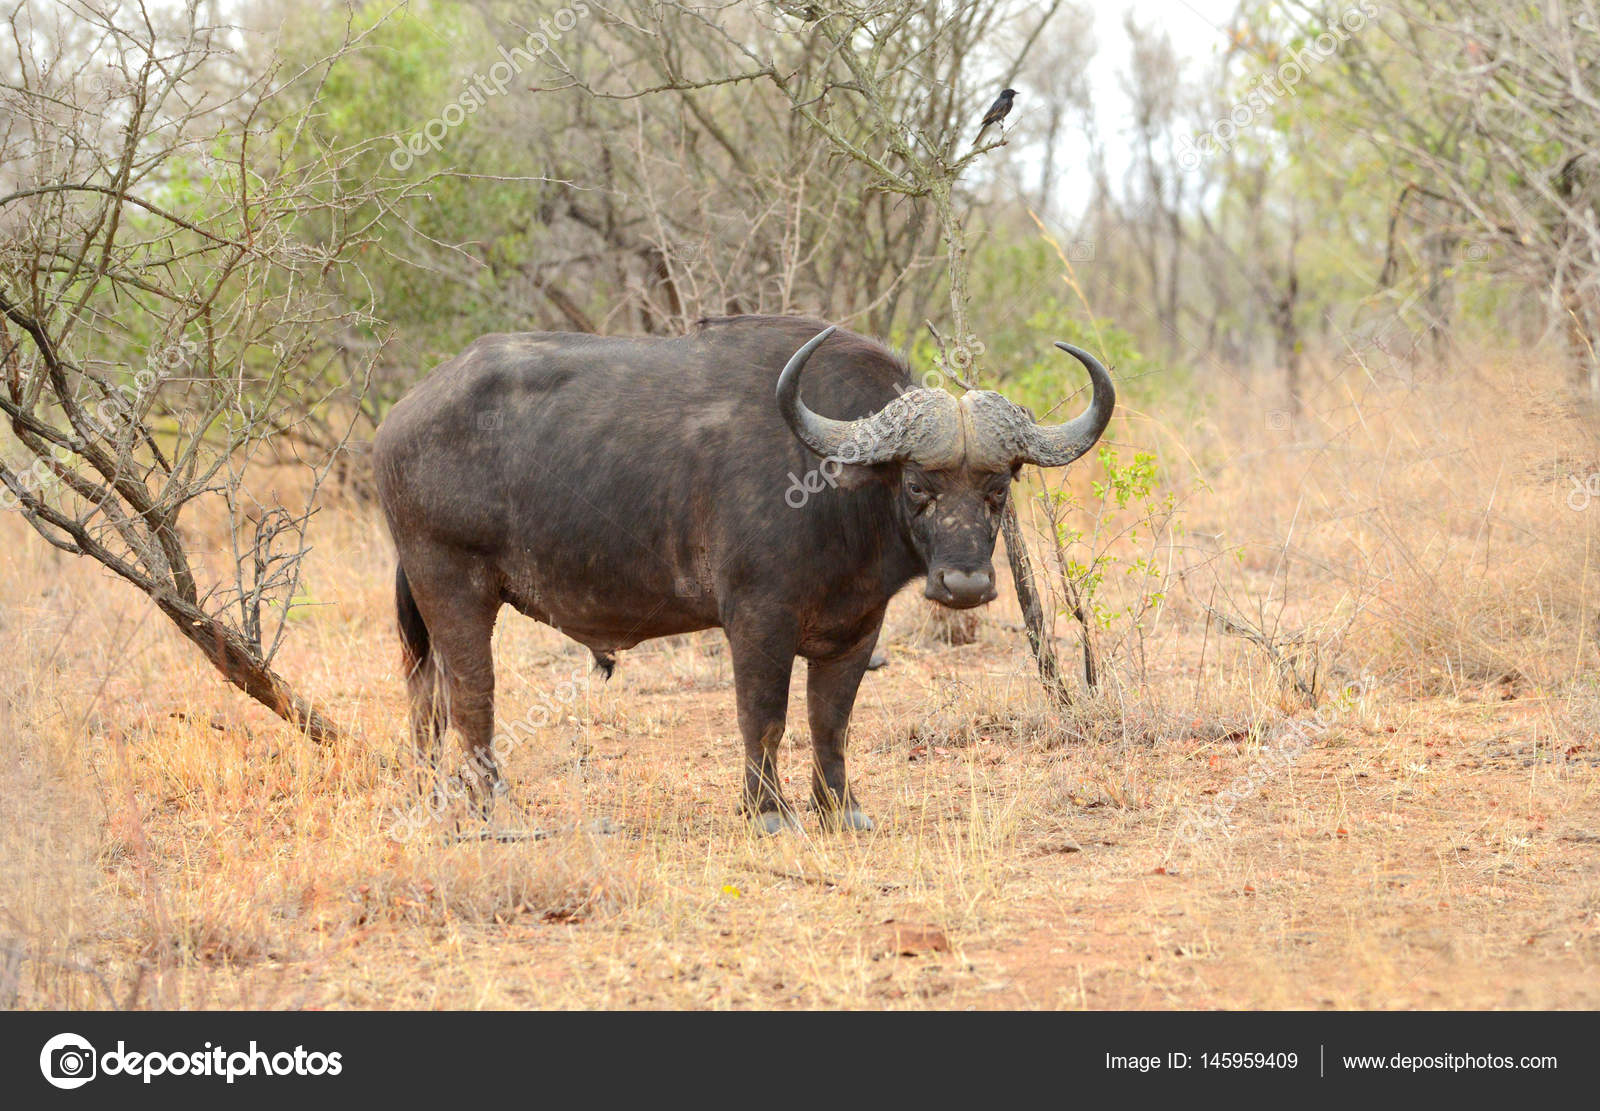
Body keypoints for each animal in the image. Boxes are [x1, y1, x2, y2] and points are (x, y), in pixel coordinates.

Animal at [373, 315, 1113, 832]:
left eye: (998, 487)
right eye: (918, 486)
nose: (965, 587)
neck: (833, 487)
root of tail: (397, 421)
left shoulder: (856, 629)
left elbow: (831, 720)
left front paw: (840, 806)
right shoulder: (758, 621)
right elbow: (765, 715)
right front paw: (767, 810)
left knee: (425, 701)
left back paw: (433, 794)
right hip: (454, 586)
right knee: (472, 699)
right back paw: (490, 807)